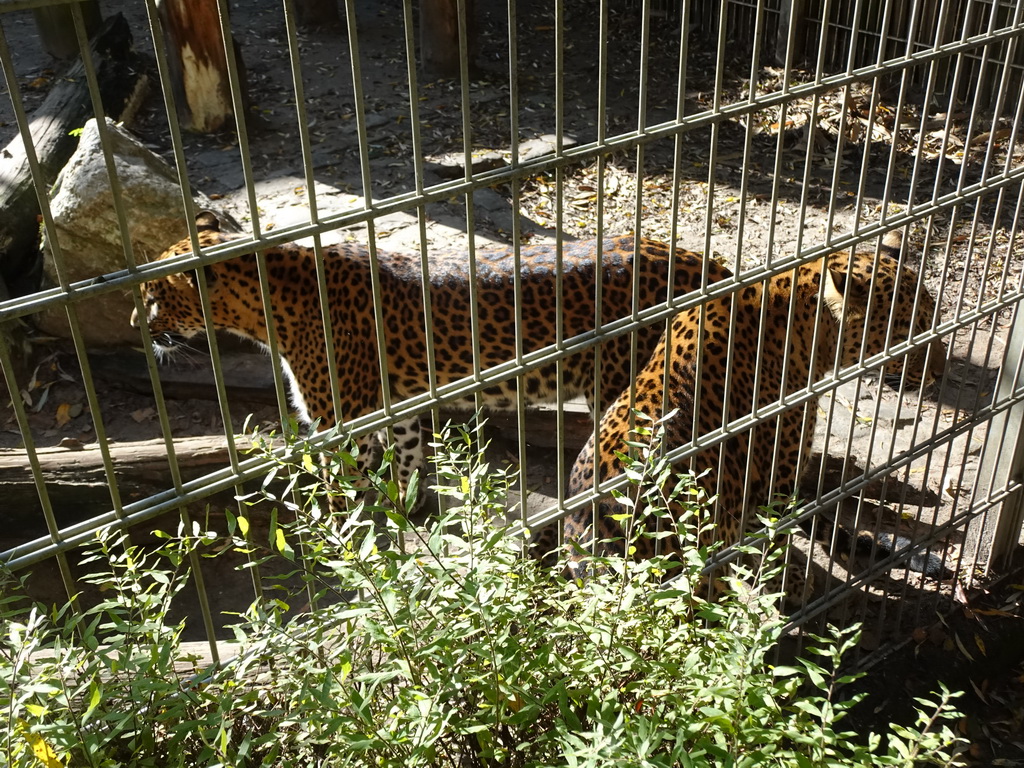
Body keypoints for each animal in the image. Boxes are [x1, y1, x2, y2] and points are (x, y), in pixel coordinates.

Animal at [128, 211, 737, 512]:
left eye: (155, 294)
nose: (135, 325)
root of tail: (699, 258)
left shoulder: (340, 422)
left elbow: (343, 485)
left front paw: (345, 536)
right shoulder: (392, 407)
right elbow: (407, 458)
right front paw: (408, 507)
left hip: (629, 386)